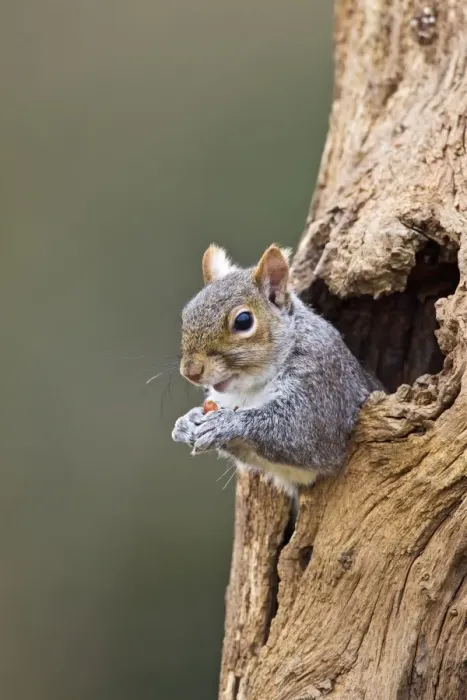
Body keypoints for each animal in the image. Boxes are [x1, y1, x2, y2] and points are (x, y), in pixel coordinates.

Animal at [172, 243, 382, 496]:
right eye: (186, 315)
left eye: (243, 321)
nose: (190, 371)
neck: (251, 388)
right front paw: (187, 421)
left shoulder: (322, 387)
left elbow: (299, 432)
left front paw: (227, 423)